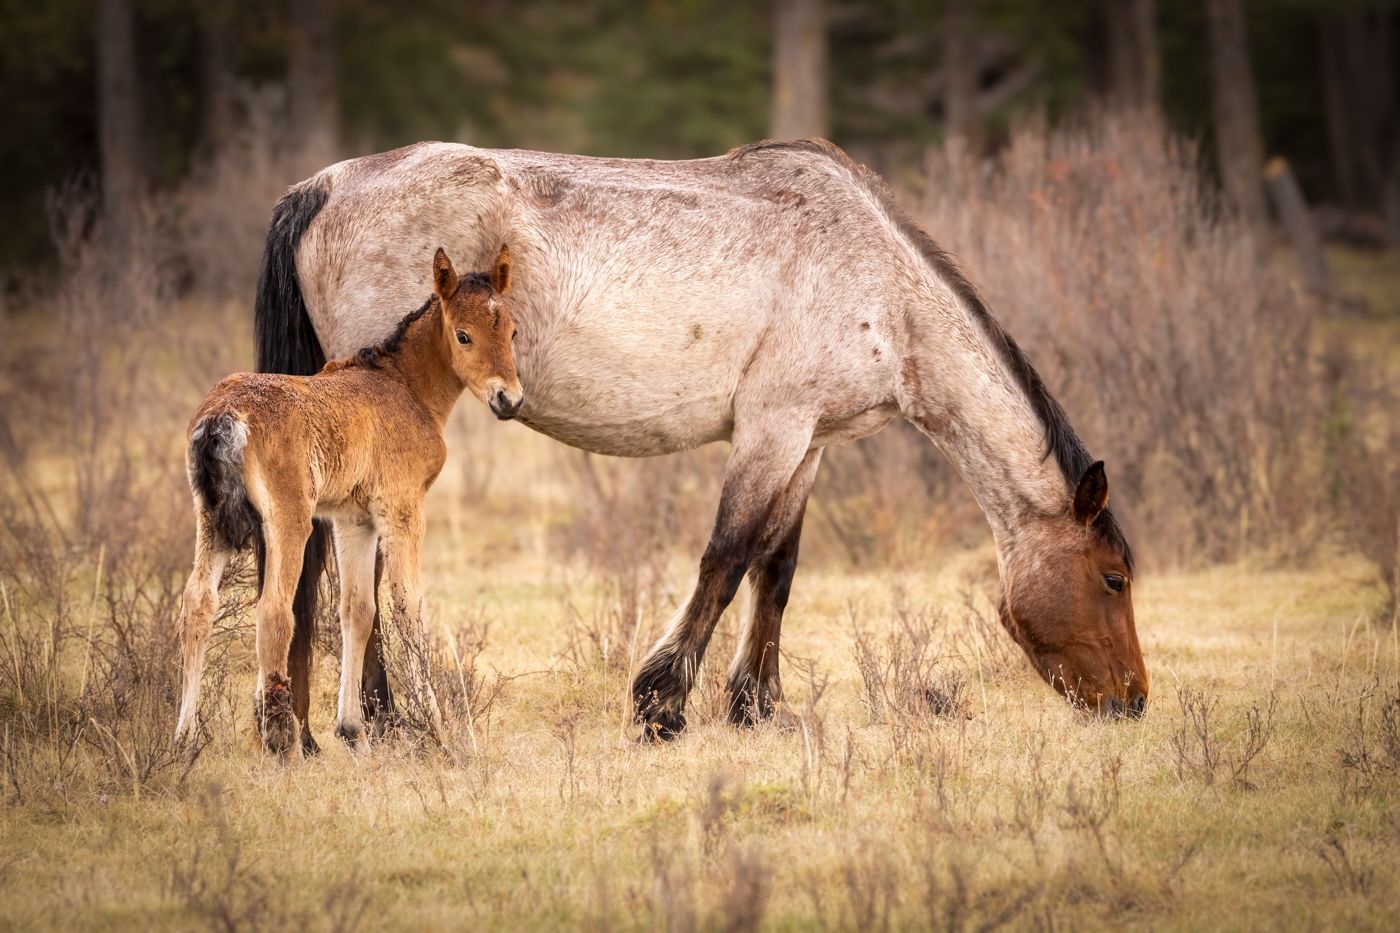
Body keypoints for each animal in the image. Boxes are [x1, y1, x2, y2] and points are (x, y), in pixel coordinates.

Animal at [174, 246, 521, 756]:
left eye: (512, 330)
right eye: (464, 335)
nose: (509, 399)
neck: (404, 387)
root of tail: (223, 417)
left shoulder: (353, 520)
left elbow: (357, 609)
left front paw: (352, 729)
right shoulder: (402, 509)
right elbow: (408, 607)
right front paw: (440, 730)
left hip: (211, 520)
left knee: (198, 603)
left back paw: (184, 738)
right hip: (290, 520)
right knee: (274, 610)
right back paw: (281, 739)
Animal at [252, 138, 1147, 748]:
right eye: (1113, 577)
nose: (1134, 700)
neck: (880, 285)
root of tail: (324, 185)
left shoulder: (808, 442)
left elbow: (776, 568)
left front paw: (757, 704)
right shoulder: (771, 430)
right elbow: (725, 557)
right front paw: (661, 703)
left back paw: (326, 725)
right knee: (352, 569)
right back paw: (378, 720)